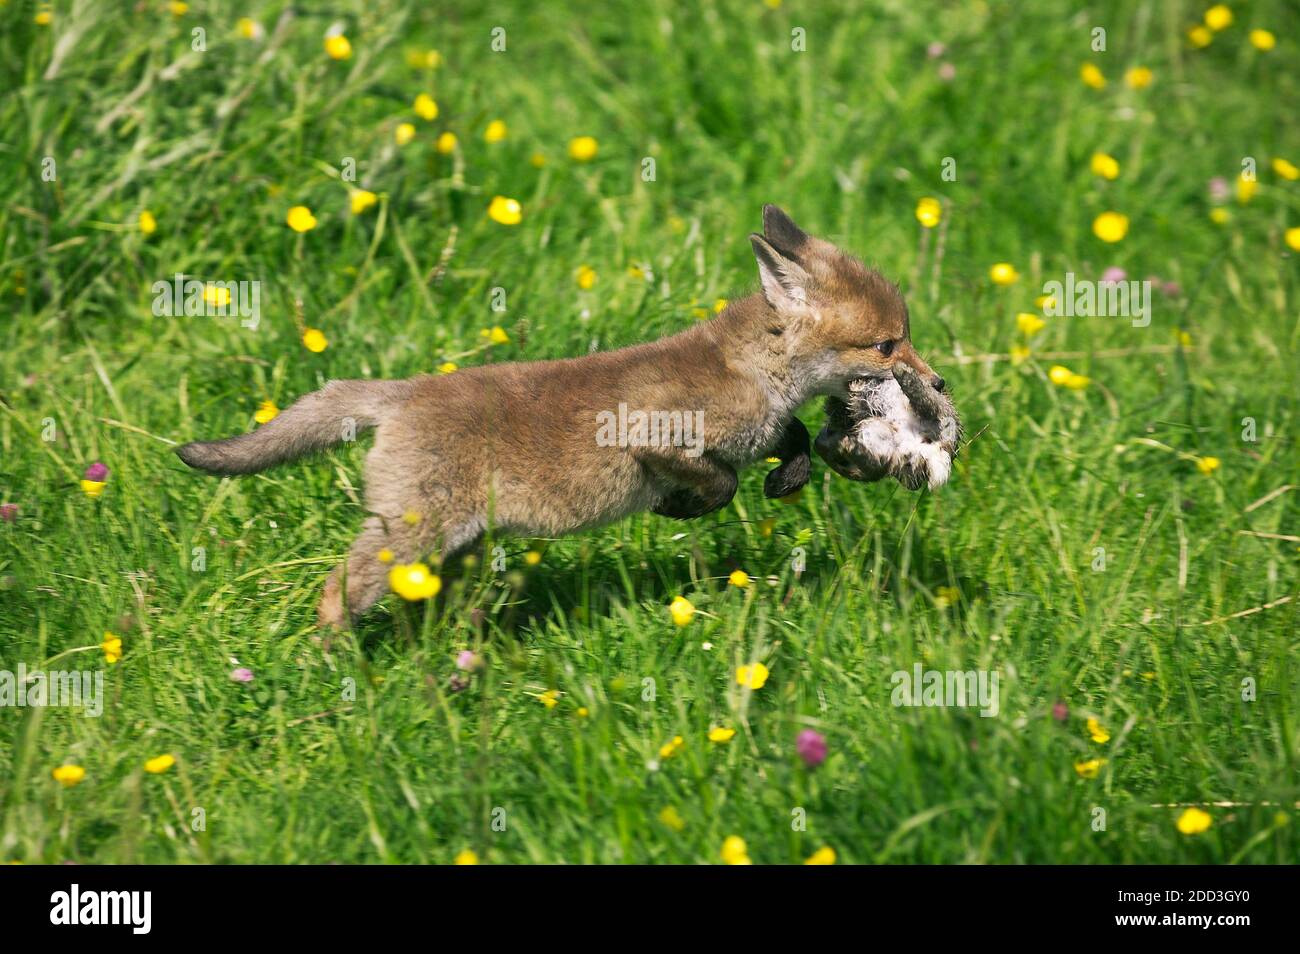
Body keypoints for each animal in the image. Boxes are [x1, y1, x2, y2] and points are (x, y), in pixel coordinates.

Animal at [175, 206, 946, 628]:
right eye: (887, 345)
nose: (938, 380)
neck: (749, 369)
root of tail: (402, 393)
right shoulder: (649, 434)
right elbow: (718, 481)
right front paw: (681, 508)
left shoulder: (757, 428)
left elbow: (789, 441)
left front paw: (785, 477)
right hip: (413, 534)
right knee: (336, 592)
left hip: (450, 547)